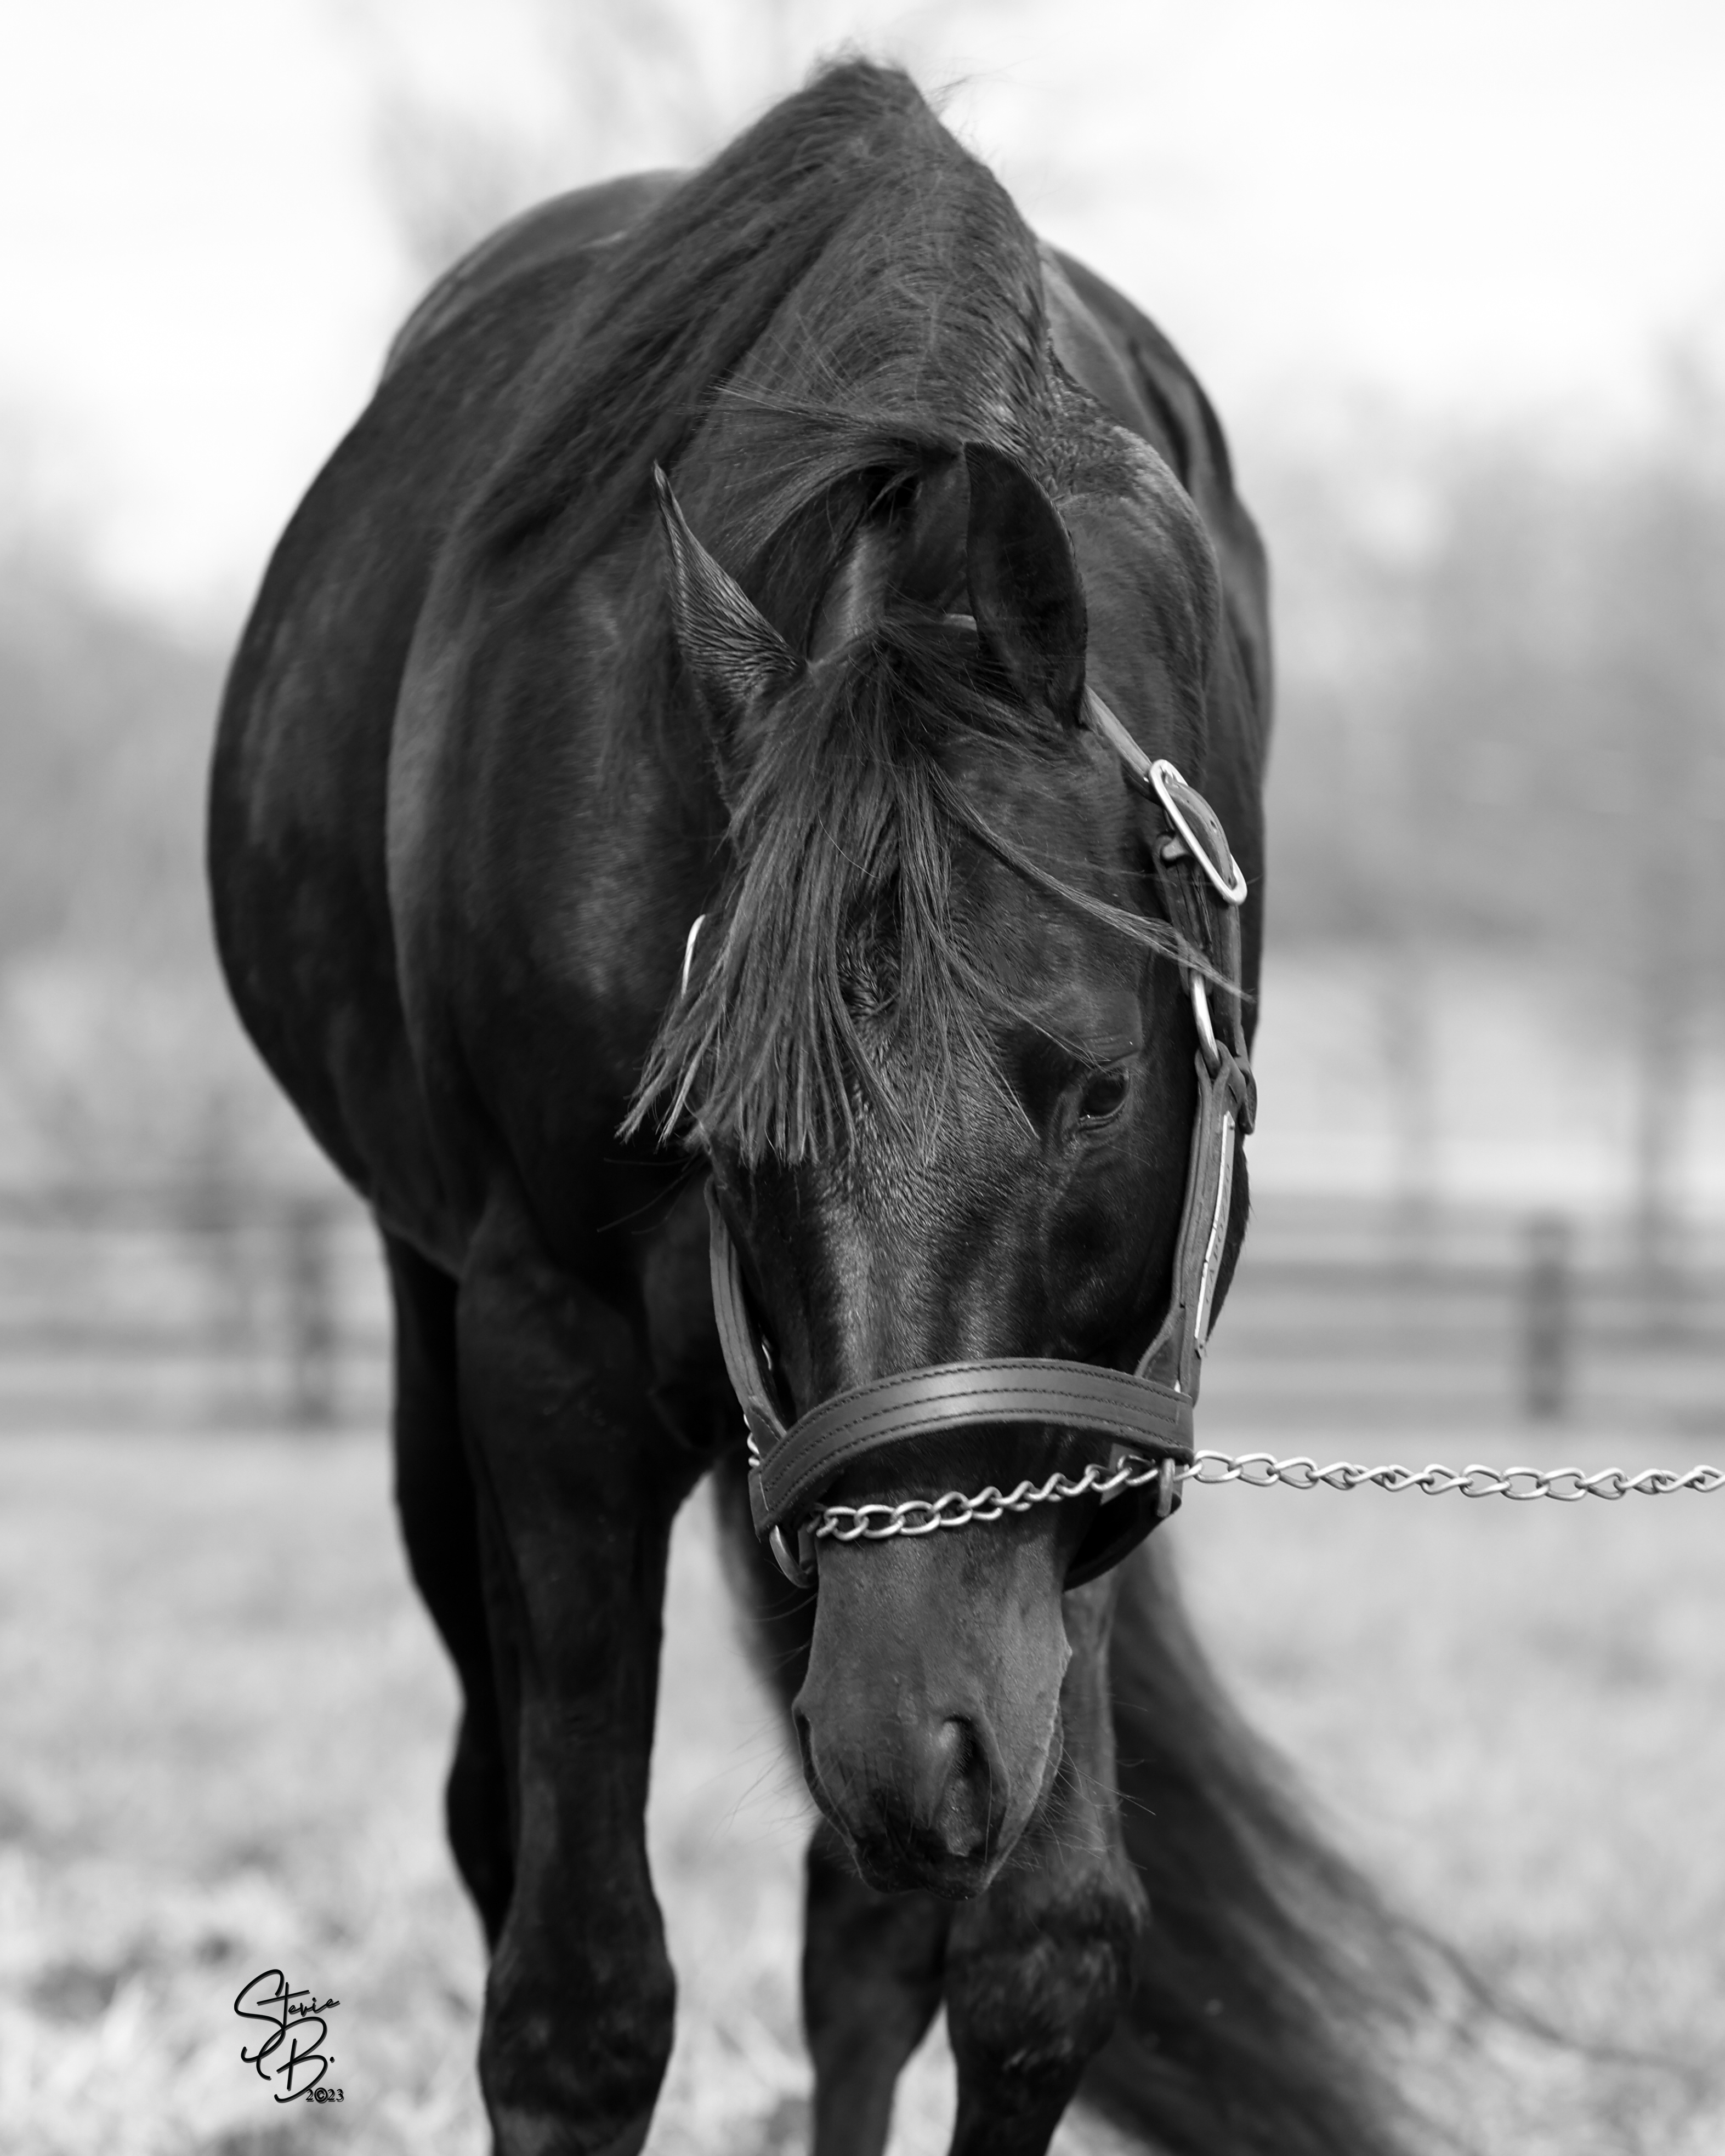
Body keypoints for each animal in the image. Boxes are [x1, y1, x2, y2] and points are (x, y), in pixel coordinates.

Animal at [209, 61, 1423, 2156]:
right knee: (509, 1822)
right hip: (456, 1368)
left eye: (1099, 1089)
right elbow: (580, 2002)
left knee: (859, 1929)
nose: (916, 1739)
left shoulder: (1091, 1437)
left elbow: (1033, 1960)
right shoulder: (548, 1356)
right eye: (706, 1132)